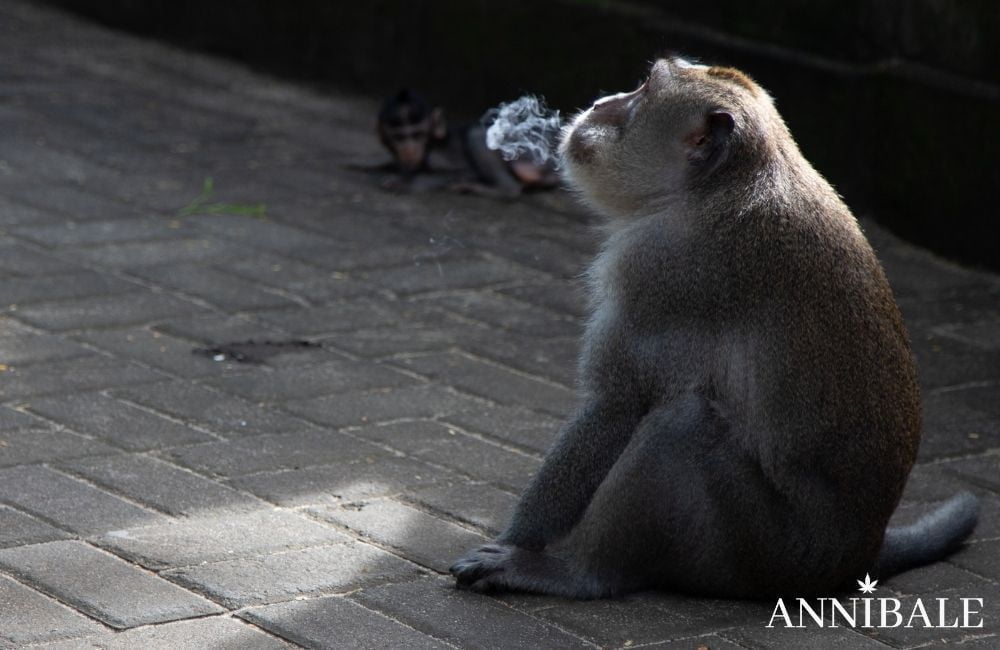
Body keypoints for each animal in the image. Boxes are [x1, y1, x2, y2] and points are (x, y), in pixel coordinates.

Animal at [452, 58, 976, 596]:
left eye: (644, 91)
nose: (603, 103)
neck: (718, 186)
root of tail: (858, 553)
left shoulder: (657, 267)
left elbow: (616, 405)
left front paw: (517, 543)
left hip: (761, 547)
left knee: (682, 425)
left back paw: (579, 573)